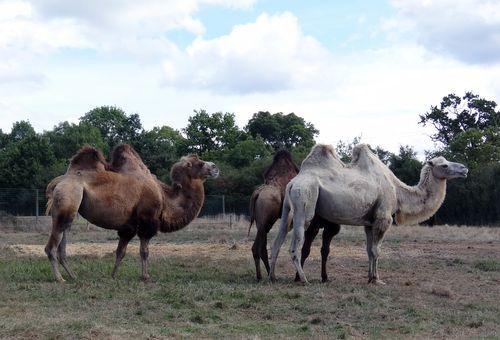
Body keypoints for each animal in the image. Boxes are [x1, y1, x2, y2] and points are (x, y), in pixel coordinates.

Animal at [44, 145, 219, 280]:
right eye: (200, 163)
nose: (215, 167)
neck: (164, 197)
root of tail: (58, 182)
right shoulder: (147, 221)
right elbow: (144, 251)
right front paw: (145, 276)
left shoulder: (128, 226)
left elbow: (120, 251)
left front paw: (113, 275)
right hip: (68, 196)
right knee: (52, 246)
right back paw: (59, 279)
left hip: (68, 207)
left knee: (62, 241)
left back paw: (72, 276)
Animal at [249, 151, 342, 282]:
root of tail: (258, 192)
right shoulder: (314, 227)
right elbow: (306, 250)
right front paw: (298, 277)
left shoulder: (327, 228)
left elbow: (325, 251)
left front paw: (324, 277)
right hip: (266, 220)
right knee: (257, 247)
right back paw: (262, 276)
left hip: (261, 223)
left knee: (262, 247)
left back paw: (270, 275)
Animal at [270, 143, 468, 284]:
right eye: (444, 165)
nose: (464, 169)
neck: (397, 191)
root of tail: (293, 183)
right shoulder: (383, 217)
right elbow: (376, 250)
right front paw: (377, 279)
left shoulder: (369, 222)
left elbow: (369, 250)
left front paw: (370, 277)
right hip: (305, 200)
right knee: (295, 243)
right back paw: (303, 279)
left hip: (288, 207)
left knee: (278, 239)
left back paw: (272, 276)